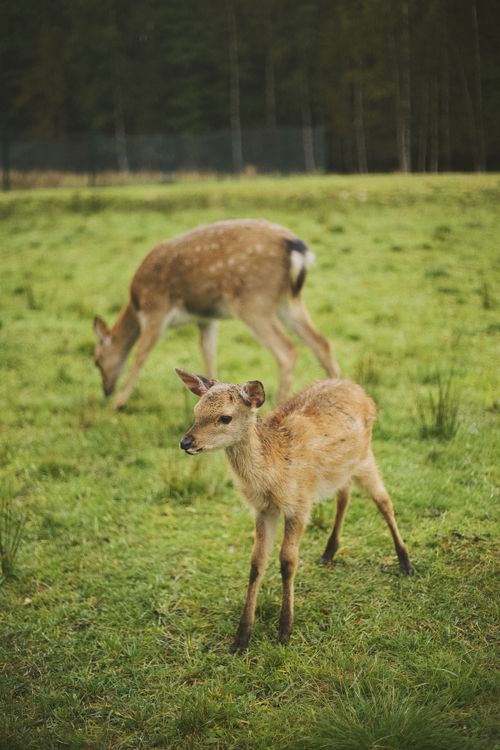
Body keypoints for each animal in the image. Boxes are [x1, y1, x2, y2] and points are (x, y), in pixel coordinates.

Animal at [93, 219, 339, 409]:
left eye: (96, 360)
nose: (106, 390)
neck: (136, 305)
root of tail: (297, 249)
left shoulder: (156, 309)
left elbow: (141, 354)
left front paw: (118, 403)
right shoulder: (206, 318)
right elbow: (208, 353)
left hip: (253, 299)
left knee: (287, 351)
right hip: (288, 301)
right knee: (321, 342)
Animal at [176, 368, 413, 651]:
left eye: (225, 417)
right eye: (196, 410)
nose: (186, 442)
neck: (274, 471)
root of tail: (359, 390)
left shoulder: (299, 504)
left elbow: (288, 561)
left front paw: (284, 631)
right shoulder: (263, 510)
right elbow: (256, 561)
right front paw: (241, 639)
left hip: (365, 457)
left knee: (384, 502)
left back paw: (406, 563)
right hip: (342, 469)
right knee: (344, 495)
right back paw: (328, 553)